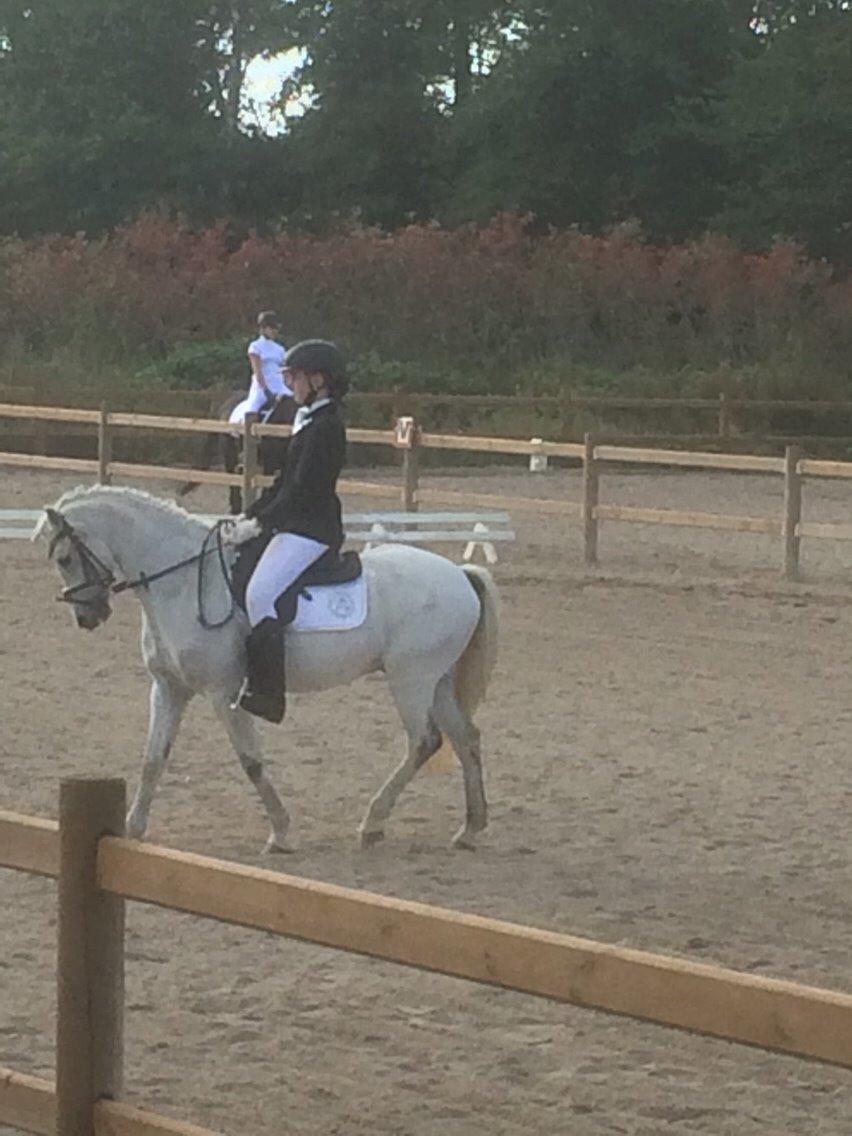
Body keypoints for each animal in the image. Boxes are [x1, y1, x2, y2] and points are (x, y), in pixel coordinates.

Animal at [34, 485, 499, 853]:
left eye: (64, 558)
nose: (88, 617)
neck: (183, 581)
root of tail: (460, 572)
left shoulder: (224, 692)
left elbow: (251, 761)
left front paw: (281, 833)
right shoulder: (168, 688)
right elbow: (153, 757)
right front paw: (133, 829)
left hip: (410, 680)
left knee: (424, 742)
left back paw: (373, 822)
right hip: (436, 682)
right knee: (466, 738)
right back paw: (470, 829)